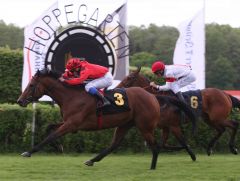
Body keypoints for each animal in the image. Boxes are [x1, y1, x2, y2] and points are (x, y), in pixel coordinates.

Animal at [17, 68, 182, 170]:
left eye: (31, 85)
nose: (20, 101)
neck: (71, 96)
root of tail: (152, 96)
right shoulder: (70, 124)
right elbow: (49, 127)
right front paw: (59, 147)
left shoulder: (72, 125)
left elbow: (50, 136)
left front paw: (28, 152)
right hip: (126, 124)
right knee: (114, 144)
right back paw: (91, 160)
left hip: (145, 126)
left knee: (155, 146)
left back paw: (152, 168)